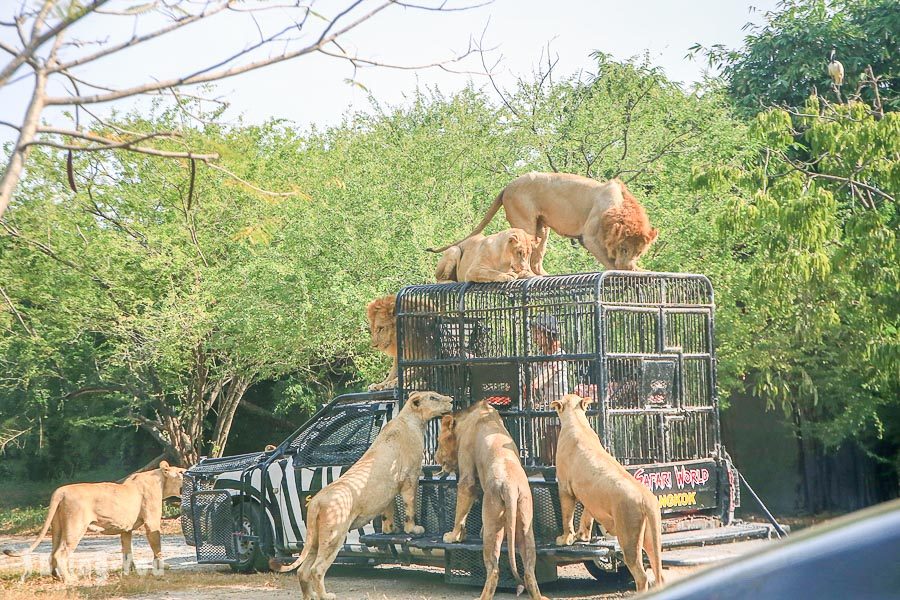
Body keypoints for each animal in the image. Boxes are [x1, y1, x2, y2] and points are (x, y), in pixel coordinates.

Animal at [2, 460, 186, 580]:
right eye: (182, 472)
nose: (188, 472)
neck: (161, 480)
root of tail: (60, 491)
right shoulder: (151, 522)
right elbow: (157, 546)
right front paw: (162, 566)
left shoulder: (126, 529)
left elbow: (127, 551)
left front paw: (129, 571)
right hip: (75, 527)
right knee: (61, 553)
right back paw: (69, 579)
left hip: (57, 528)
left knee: (53, 552)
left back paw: (56, 576)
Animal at [268, 392, 450, 596]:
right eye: (434, 397)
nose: (451, 400)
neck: (410, 419)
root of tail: (316, 501)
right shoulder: (410, 478)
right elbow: (410, 508)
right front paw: (414, 529)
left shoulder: (388, 489)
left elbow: (388, 512)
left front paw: (390, 530)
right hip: (334, 536)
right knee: (316, 569)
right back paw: (326, 596)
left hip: (315, 538)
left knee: (302, 571)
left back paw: (310, 596)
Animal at [428, 172, 652, 276]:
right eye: (624, 248)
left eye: (639, 252)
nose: (628, 264)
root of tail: (507, 186)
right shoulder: (589, 236)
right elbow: (608, 260)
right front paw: (624, 270)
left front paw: (637, 269)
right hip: (524, 220)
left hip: (542, 228)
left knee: (537, 259)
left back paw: (544, 274)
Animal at [436, 400, 548, 600]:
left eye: (439, 442)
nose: (435, 457)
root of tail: (510, 486)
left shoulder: (467, 469)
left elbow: (461, 506)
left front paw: (453, 536)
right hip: (525, 520)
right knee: (528, 570)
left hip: (492, 524)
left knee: (494, 569)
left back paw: (482, 597)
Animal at [548, 394, 660, 592]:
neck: (577, 420)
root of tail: (646, 498)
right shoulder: (589, 497)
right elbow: (587, 516)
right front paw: (582, 537)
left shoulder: (565, 488)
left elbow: (567, 516)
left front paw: (565, 539)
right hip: (651, 539)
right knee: (659, 573)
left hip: (628, 536)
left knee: (642, 575)